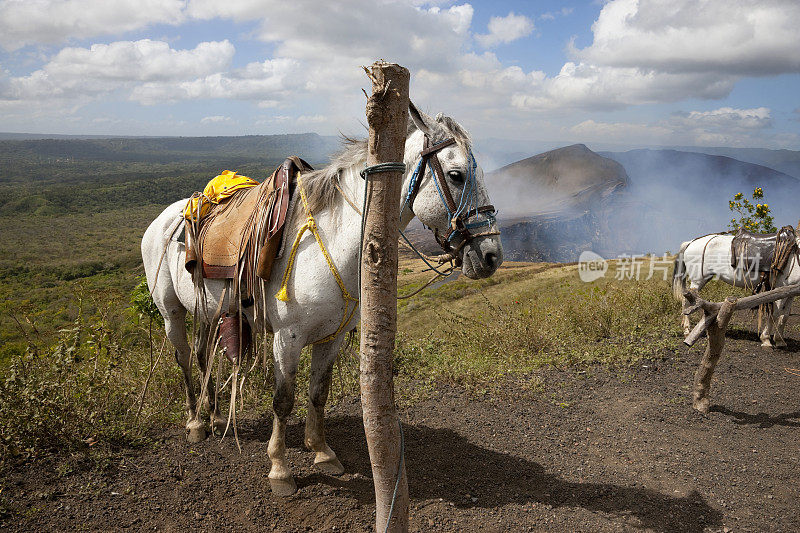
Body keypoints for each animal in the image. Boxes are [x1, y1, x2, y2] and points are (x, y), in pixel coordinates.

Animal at [141, 104, 504, 494]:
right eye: (456, 175)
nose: (491, 256)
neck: (332, 239)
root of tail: (166, 216)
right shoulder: (287, 339)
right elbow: (283, 401)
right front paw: (280, 469)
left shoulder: (333, 336)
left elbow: (319, 393)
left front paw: (322, 452)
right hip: (172, 313)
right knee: (183, 358)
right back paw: (195, 422)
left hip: (210, 313)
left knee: (203, 355)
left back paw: (216, 415)